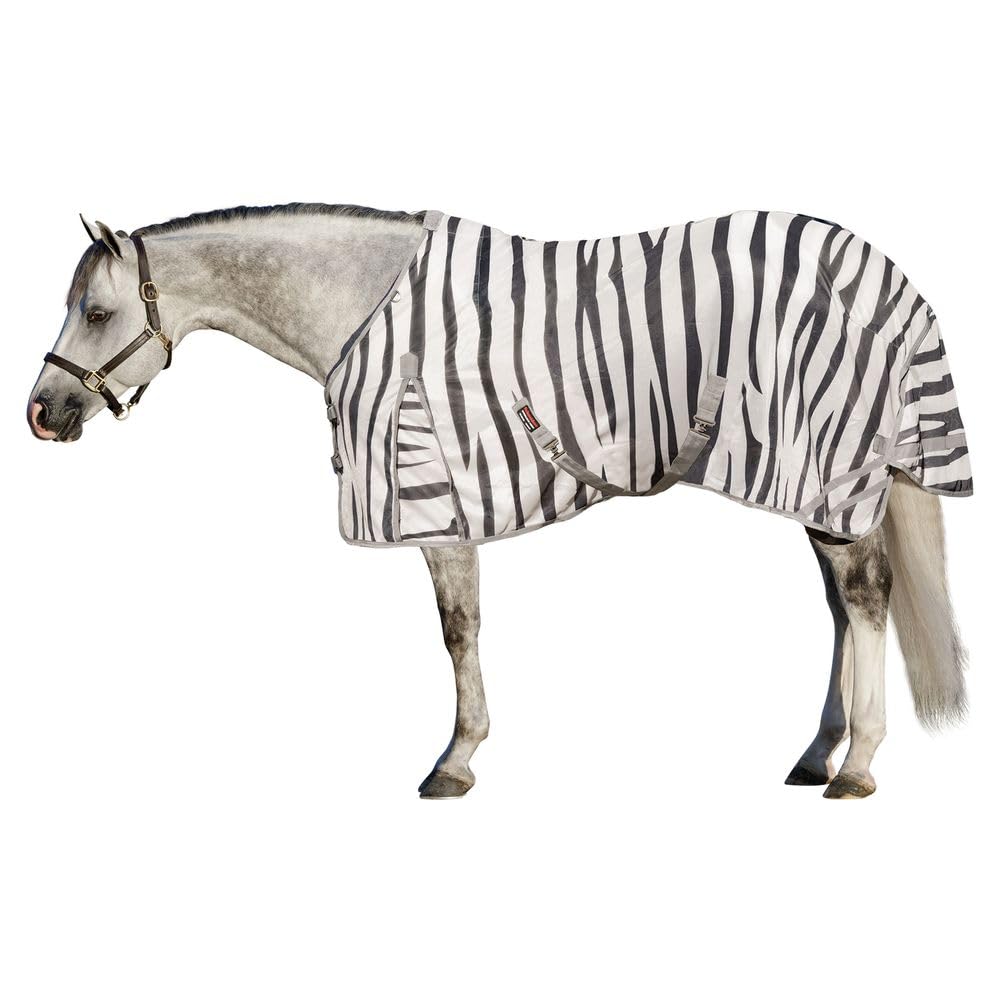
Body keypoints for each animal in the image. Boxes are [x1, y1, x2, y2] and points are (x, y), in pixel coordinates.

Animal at [26, 204, 972, 799]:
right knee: (842, 608)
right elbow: (463, 631)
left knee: (866, 598)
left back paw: (858, 767)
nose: (40, 412)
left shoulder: (433, 498)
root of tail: (885, 274)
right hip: (812, 482)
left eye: (97, 312)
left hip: (828, 467)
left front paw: (456, 759)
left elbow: (458, 632)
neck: (363, 313)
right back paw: (817, 755)